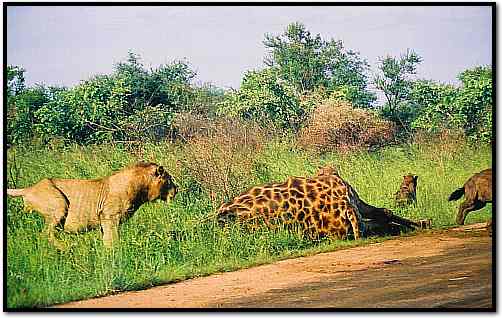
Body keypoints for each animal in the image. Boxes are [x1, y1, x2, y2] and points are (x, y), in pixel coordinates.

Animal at [6, 163, 177, 250]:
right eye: (169, 180)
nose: (177, 189)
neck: (141, 188)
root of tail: (30, 188)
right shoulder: (109, 218)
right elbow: (112, 240)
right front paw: (114, 255)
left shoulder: (104, 222)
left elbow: (106, 239)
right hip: (60, 205)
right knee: (45, 234)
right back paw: (67, 247)